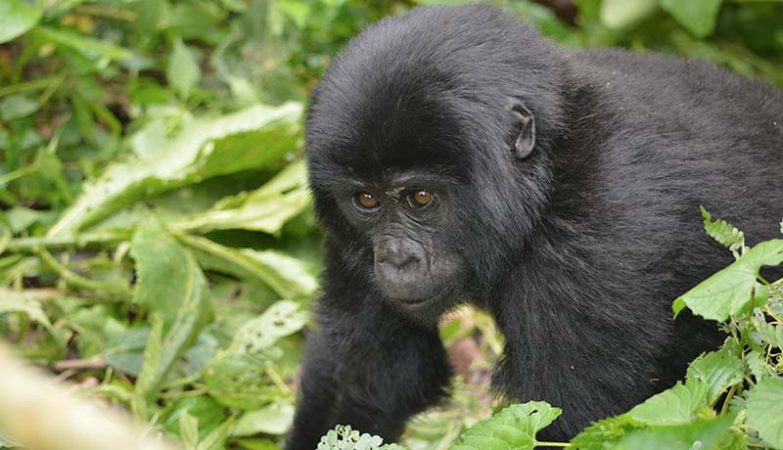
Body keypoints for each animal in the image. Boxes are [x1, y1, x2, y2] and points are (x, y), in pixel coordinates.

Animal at [286, 4, 783, 450]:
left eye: (420, 198)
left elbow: (570, 422)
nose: (395, 258)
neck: (551, 166)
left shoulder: (597, 235)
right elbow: (363, 380)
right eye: (366, 200)